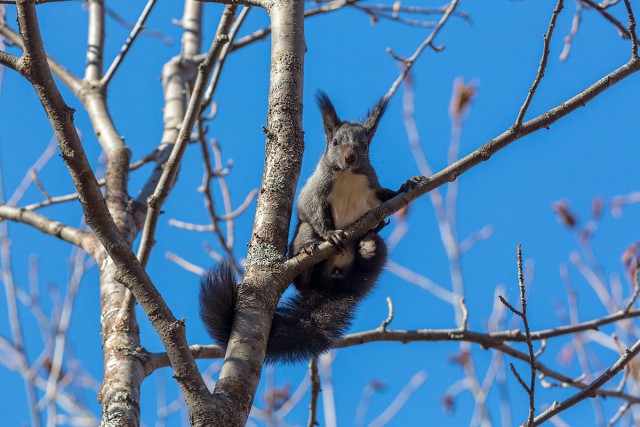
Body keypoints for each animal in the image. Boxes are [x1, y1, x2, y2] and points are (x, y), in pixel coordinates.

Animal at [200, 91, 420, 364]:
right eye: (335, 142)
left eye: (365, 146)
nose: (350, 157)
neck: (347, 175)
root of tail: (332, 284)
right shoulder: (315, 191)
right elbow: (311, 209)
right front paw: (331, 234)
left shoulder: (373, 191)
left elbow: (387, 196)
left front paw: (407, 186)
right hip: (304, 235)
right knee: (304, 269)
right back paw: (308, 253)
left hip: (373, 258)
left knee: (371, 259)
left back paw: (369, 246)